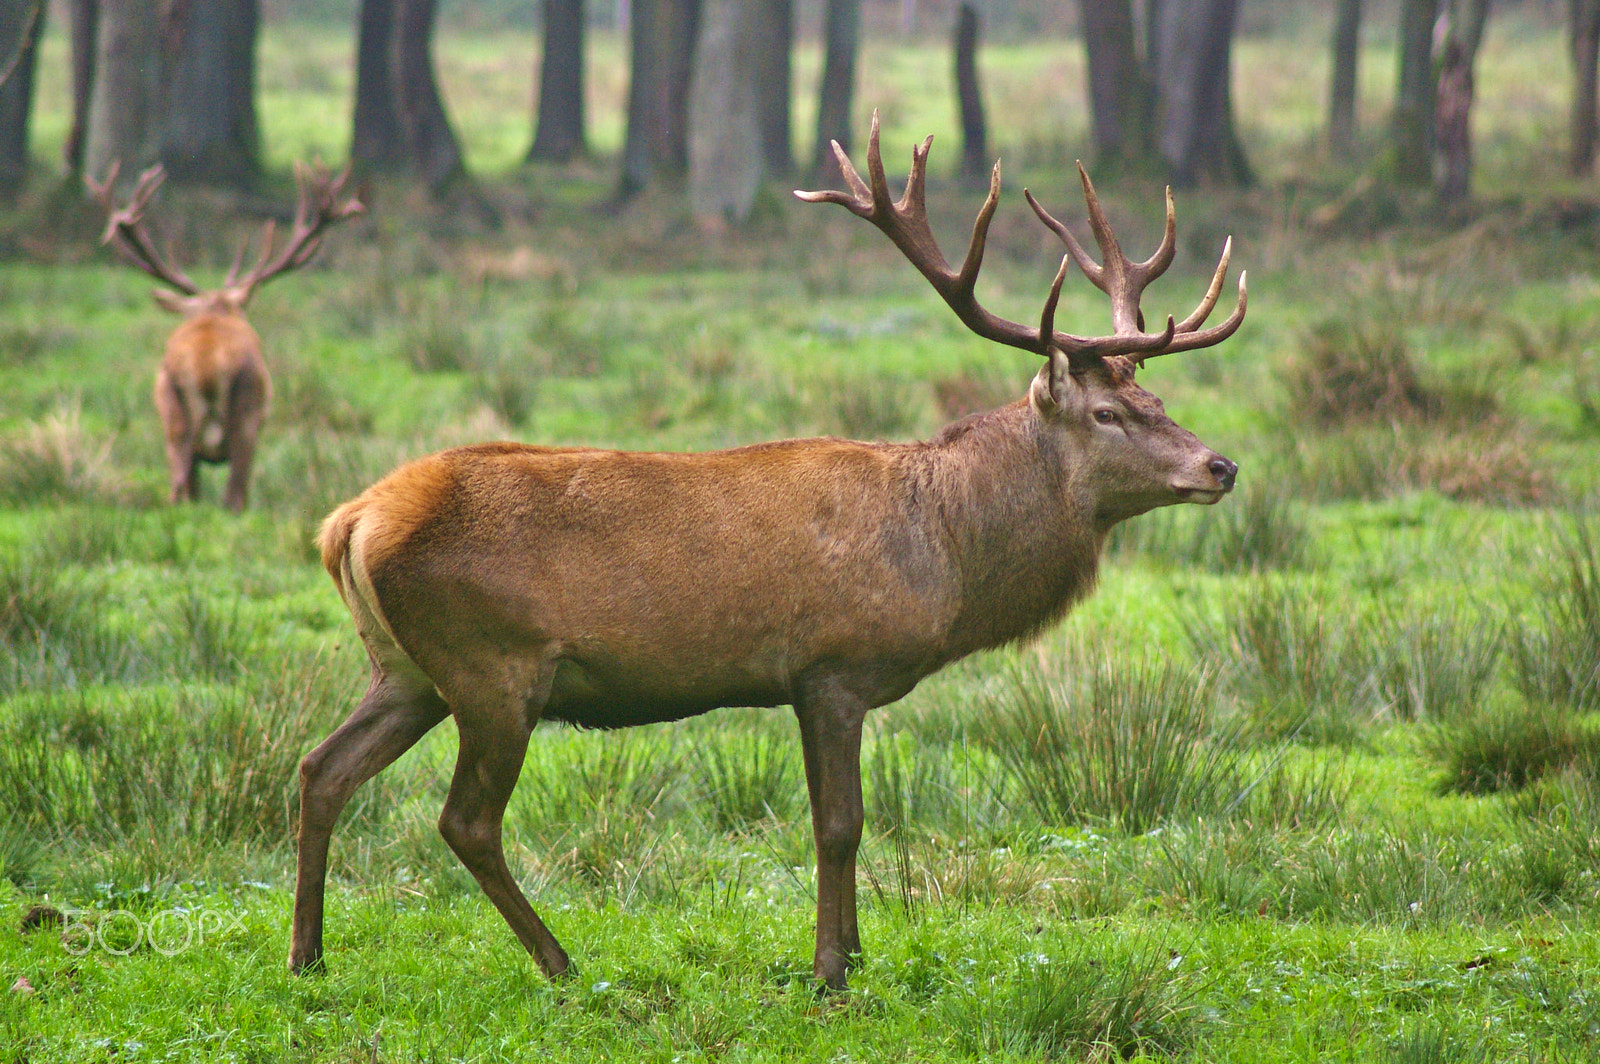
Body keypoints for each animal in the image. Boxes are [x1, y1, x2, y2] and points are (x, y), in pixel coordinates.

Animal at [89, 160, 364, 512]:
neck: (215, 313)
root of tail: (205, 364)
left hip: (172, 418)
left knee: (180, 492)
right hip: (247, 414)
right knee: (234, 496)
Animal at [291, 116, 1248, 985]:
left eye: (1159, 399)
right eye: (1108, 413)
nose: (1222, 465)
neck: (946, 556)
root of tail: (349, 522)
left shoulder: (812, 683)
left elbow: (846, 822)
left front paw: (853, 954)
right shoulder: (833, 665)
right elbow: (840, 825)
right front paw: (830, 969)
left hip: (407, 670)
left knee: (321, 767)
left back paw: (308, 957)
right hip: (493, 665)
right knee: (465, 820)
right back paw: (559, 962)